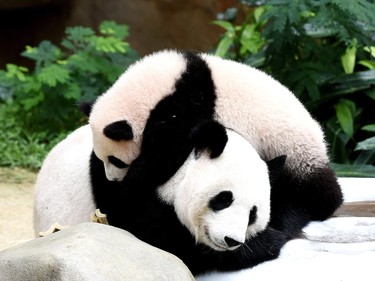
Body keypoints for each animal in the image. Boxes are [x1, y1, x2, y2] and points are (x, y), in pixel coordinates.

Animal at [87, 49, 344, 235]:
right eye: (106, 160)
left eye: (116, 161)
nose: (113, 179)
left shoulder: (187, 106)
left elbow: (165, 154)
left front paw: (130, 186)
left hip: (293, 149)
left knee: (314, 188)